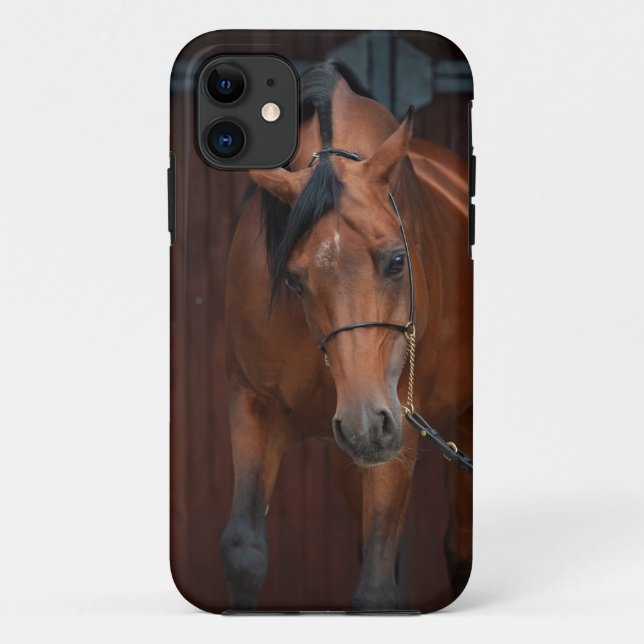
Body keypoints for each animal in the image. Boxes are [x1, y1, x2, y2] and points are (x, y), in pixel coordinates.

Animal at [220, 61, 472, 610]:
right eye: (293, 279)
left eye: (397, 260)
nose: (364, 423)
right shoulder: (255, 405)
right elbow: (243, 553)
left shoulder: (400, 427)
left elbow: (376, 587)